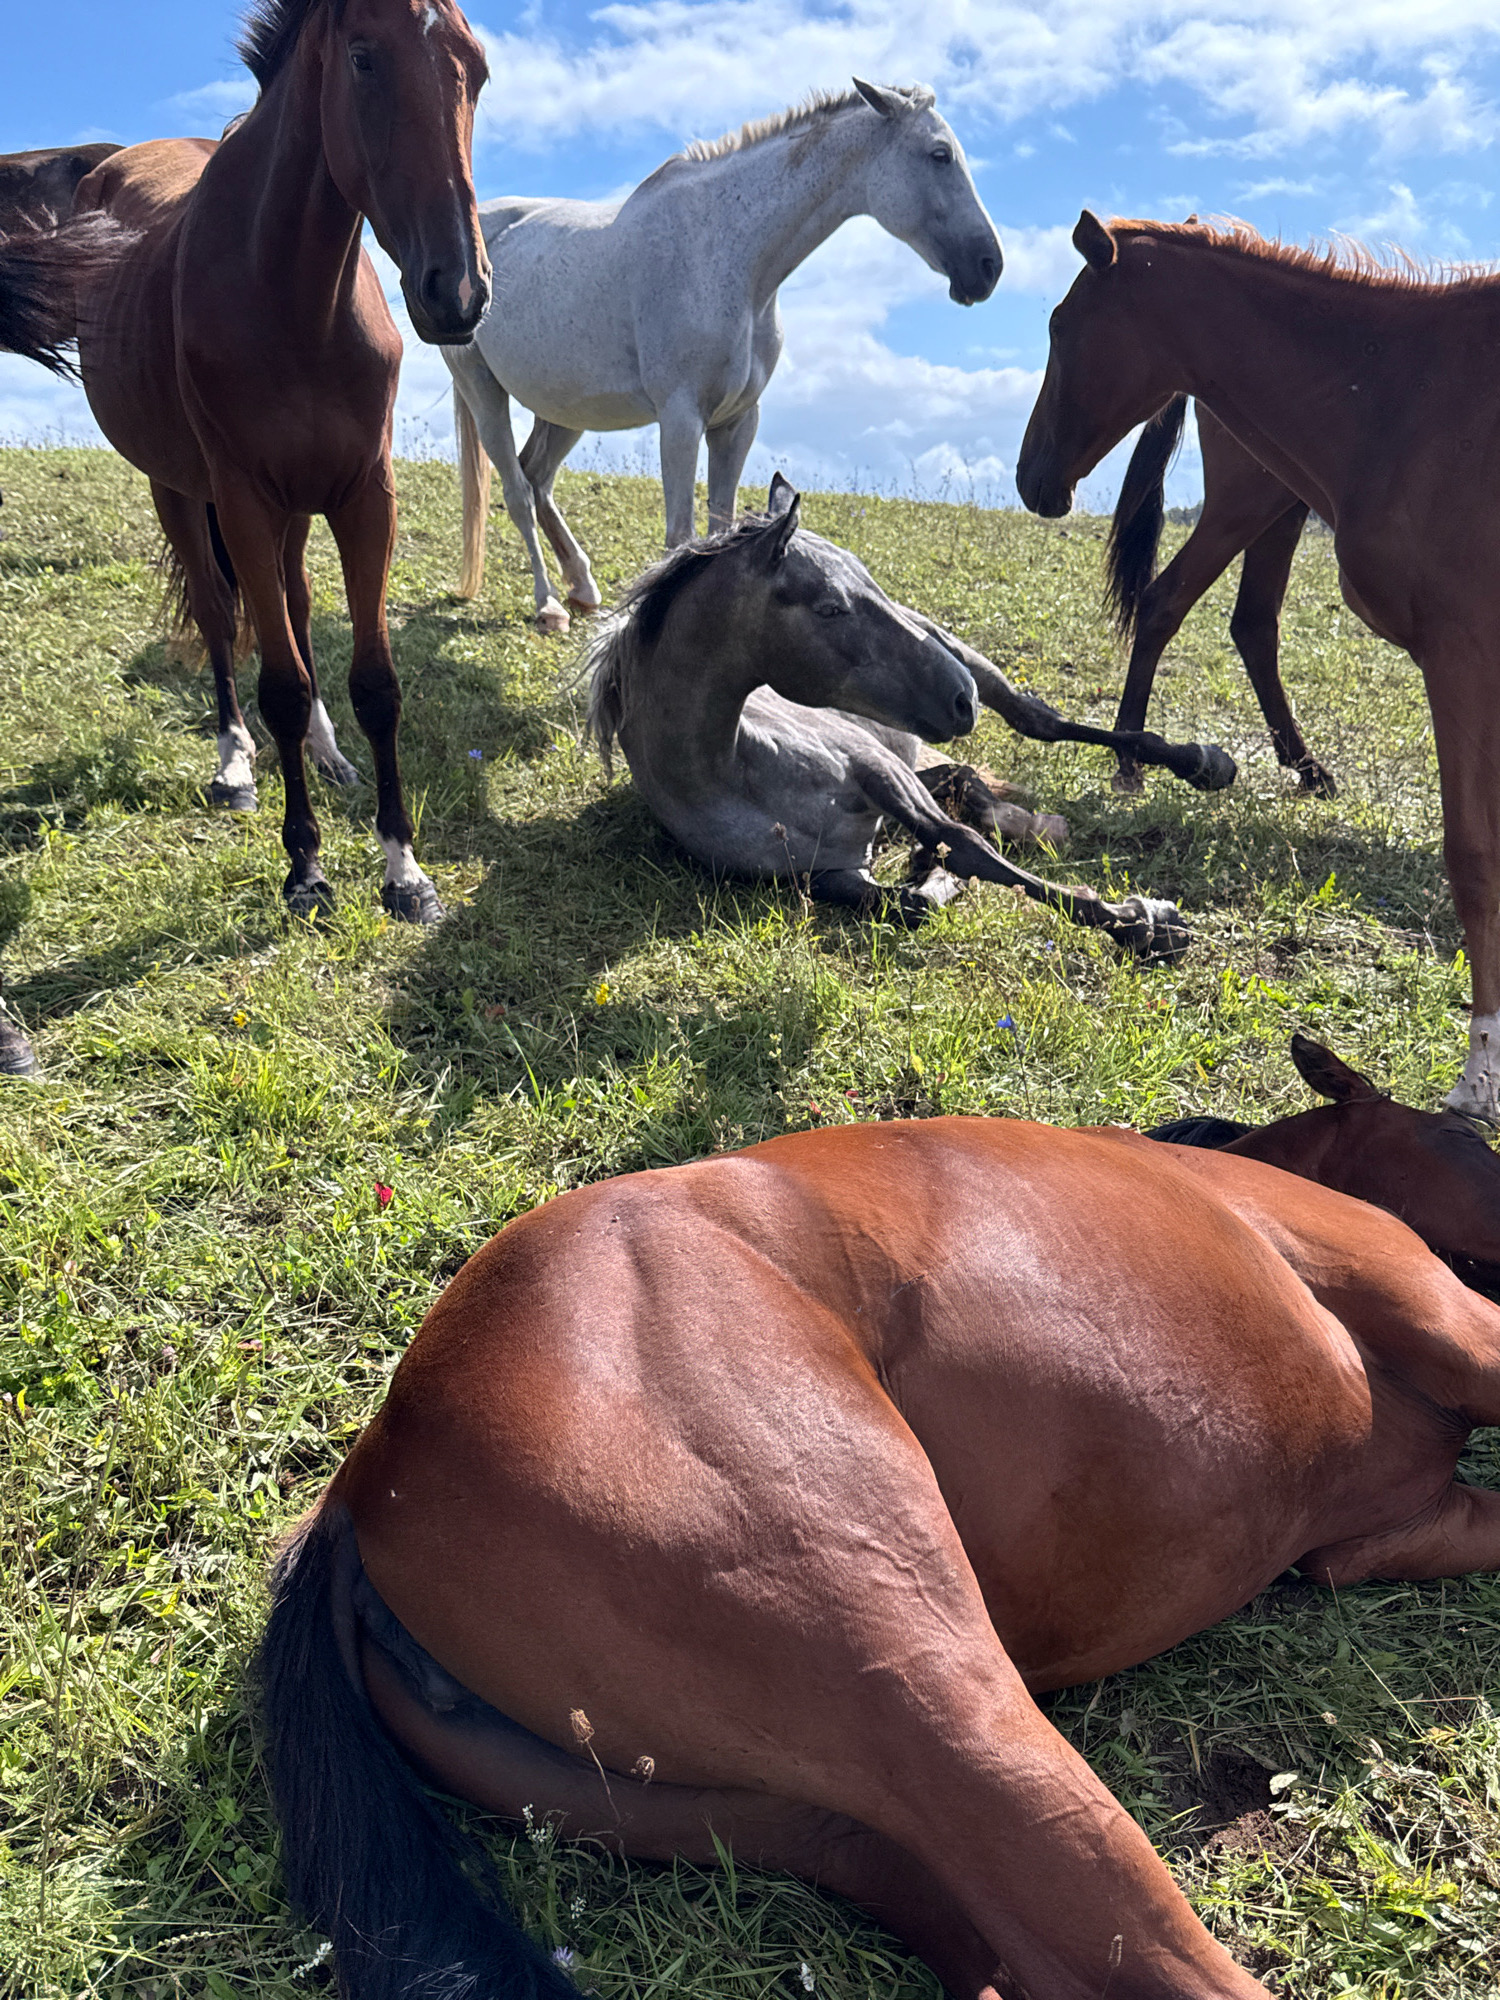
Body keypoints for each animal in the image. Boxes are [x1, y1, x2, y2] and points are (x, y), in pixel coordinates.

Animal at [0, 0, 490, 922]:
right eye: (364, 58)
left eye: (474, 70)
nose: (459, 292)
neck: (292, 296)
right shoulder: (245, 502)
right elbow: (280, 685)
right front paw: (306, 867)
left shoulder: (364, 497)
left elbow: (375, 684)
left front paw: (404, 870)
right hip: (181, 492)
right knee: (223, 622)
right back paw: (234, 763)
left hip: (297, 506)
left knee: (292, 607)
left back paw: (328, 754)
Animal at [259, 1052, 1500, 2000]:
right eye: (1464, 1135)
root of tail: (368, 1479)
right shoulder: (1454, 1320)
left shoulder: (1401, 1524)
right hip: (934, 1692)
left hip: (811, 1816)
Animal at [445, 81, 1002, 631]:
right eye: (939, 155)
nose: (989, 266)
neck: (731, 255)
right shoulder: (681, 420)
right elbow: (681, 536)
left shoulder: (737, 422)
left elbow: (721, 529)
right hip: (483, 391)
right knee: (517, 491)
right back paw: (548, 604)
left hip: (565, 410)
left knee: (536, 478)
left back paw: (582, 586)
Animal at [582, 475, 1199, 958]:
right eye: (831, 607)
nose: (962, 698)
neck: (736, 772)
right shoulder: (834, 876)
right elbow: (918, 900)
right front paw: (932, 874)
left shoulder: (878, 768)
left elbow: (965, 844)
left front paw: (1140, 920)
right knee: (965, 779)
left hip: (969, 668)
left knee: (1037, 723)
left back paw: (1198, 763)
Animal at [1104, 397, 1328, 797]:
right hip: (1249, 499)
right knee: (1165, 601)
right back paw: (1130, 758)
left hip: (1284, 502)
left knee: (1254, 623)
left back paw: (1307, 769)